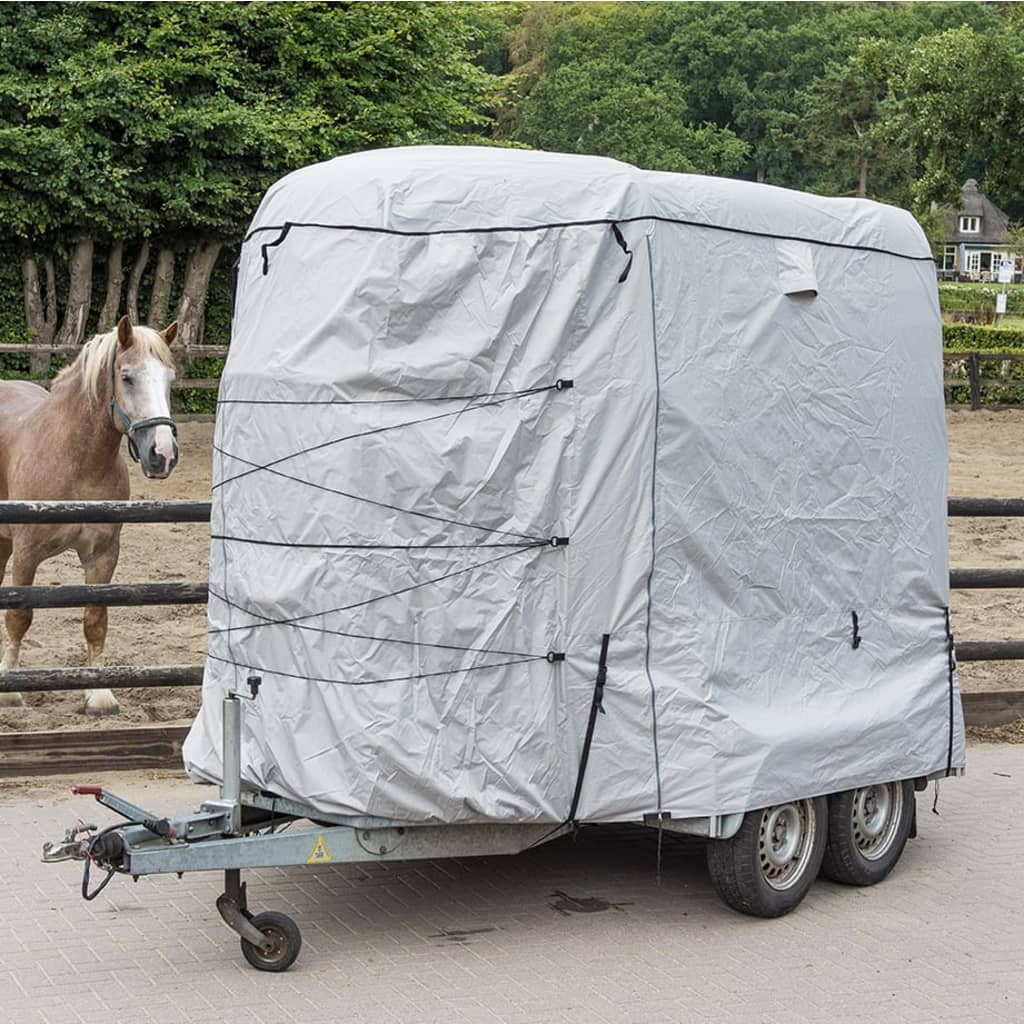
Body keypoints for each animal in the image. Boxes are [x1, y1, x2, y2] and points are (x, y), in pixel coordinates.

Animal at [0, 315, 180, 715]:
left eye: (170, 379)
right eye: (127, 377)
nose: (162, 455)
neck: (75, 459)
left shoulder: (102, 555)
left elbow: (95, 620)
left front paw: (99, 695)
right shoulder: (26, 553)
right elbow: (19, 616)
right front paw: (10, 691)